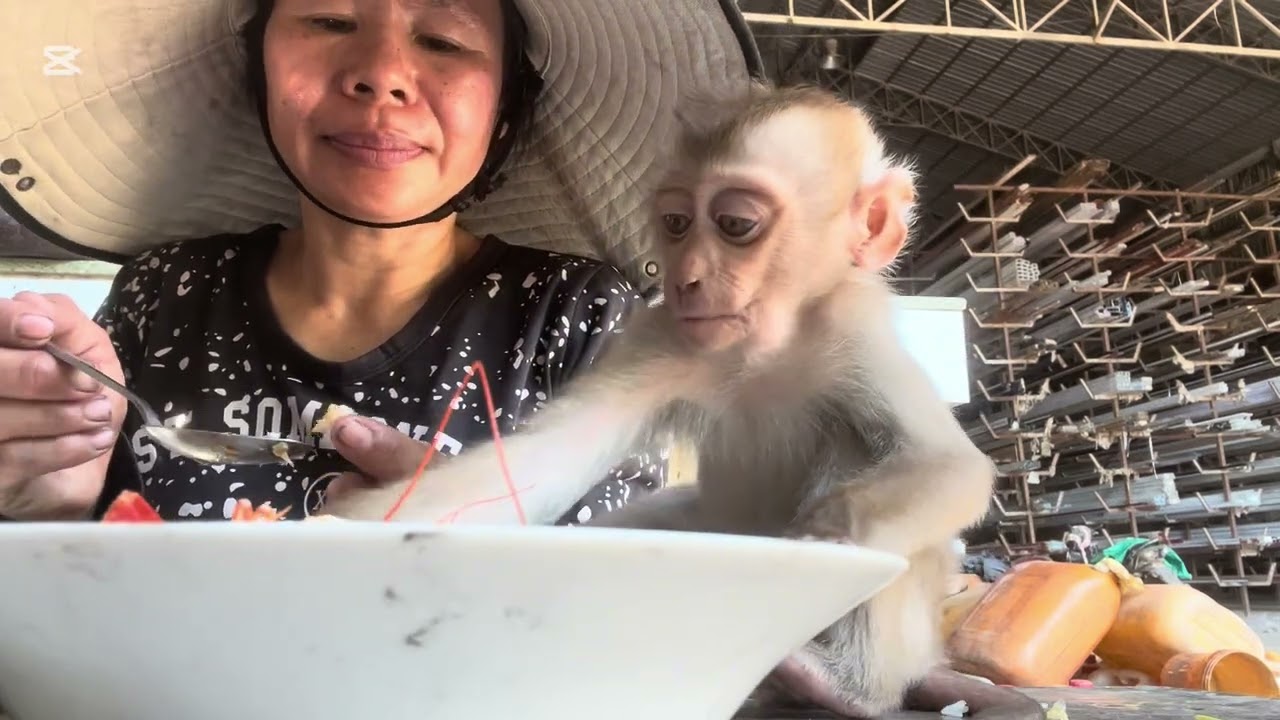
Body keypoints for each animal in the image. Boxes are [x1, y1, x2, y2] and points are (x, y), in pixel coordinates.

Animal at [319, 83, 1045, 720]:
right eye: (674, 223)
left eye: (735, 224)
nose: (687, 277)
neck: (765, 348)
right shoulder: (659, 333)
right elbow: (541, 463)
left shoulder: (852, 327)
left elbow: (948, 467)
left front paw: (818, 542)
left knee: (856, 449)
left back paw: (841, 686)